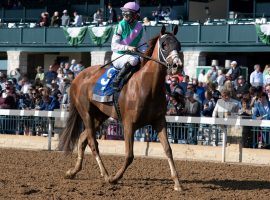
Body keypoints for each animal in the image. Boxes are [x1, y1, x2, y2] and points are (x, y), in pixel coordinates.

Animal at [58, 25, 185, 191]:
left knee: (82, 138)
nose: (177, 66)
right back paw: (105, 175)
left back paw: (73, 171)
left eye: (178, 45)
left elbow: (168, 150)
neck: (147, 86)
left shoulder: (159, 121)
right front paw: (114, 178)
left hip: (100, 115)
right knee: (93, 143)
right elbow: (129, 155)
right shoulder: (128, 124)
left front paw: (177, 183)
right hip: (85, 112)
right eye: (164, 45)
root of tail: (78, 76)